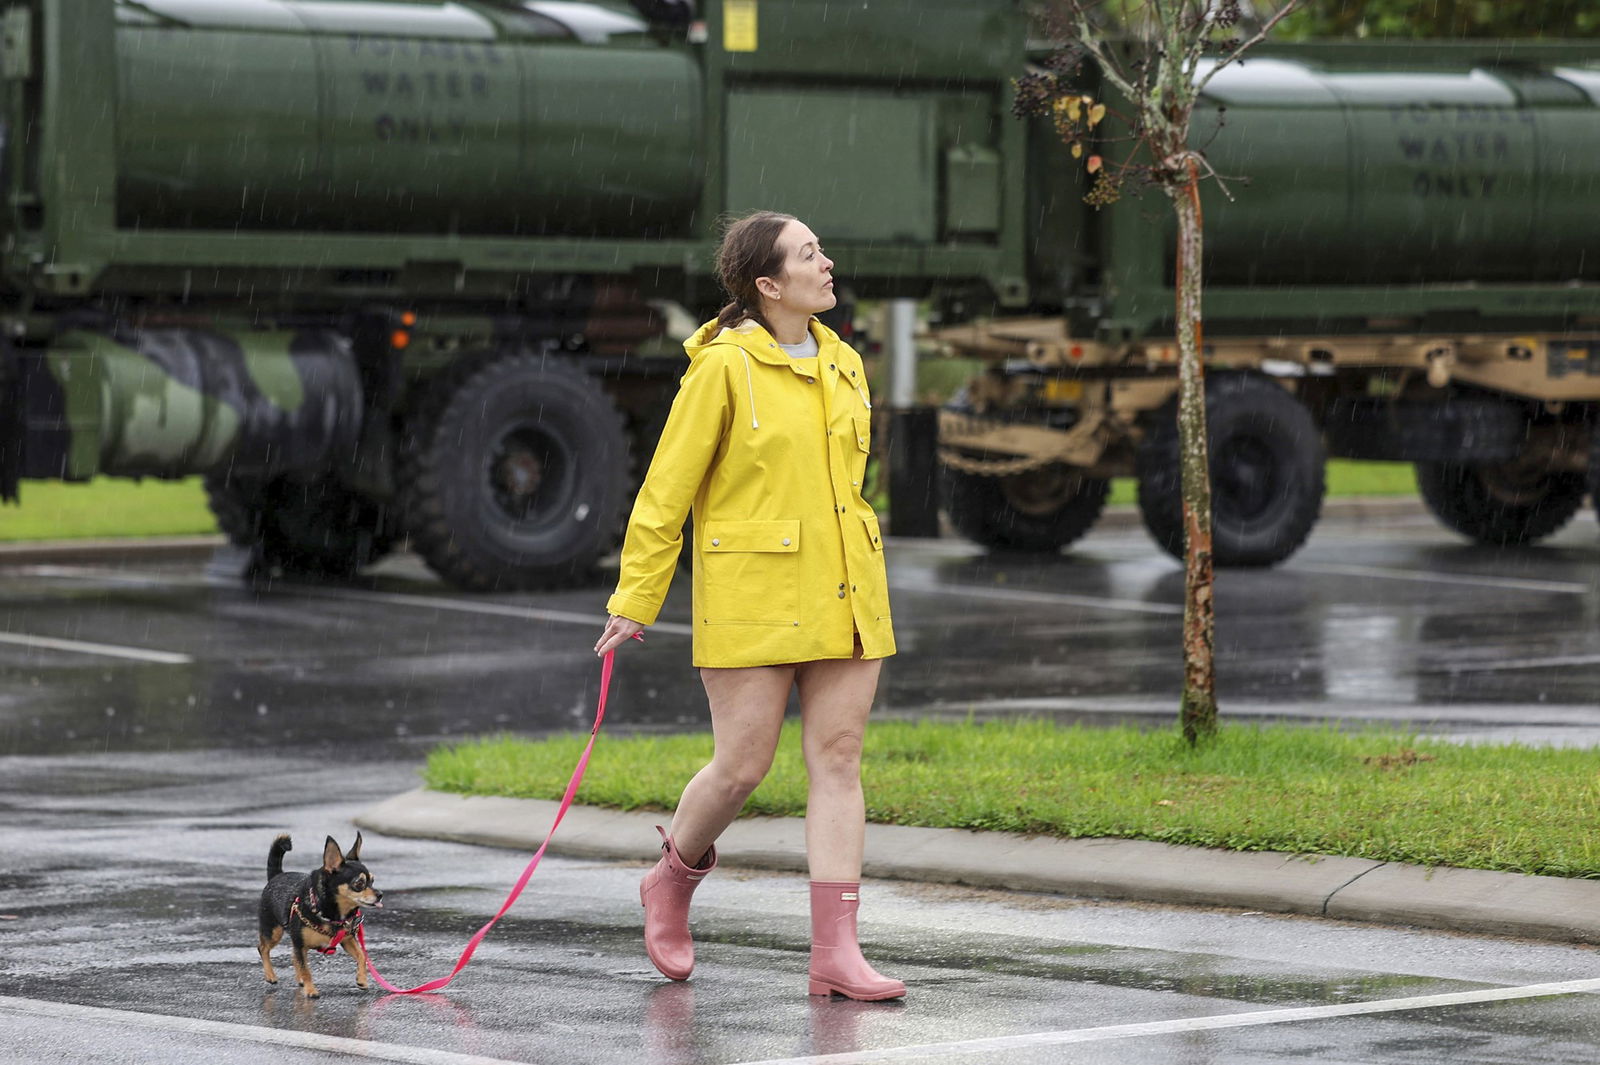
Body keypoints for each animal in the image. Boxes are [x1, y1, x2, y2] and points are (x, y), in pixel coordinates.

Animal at [257, 831, 382, 997]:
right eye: (359, 883)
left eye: (372, 881)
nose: (380, 894)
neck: (333, 916)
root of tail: (276, 875)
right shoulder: (300, 945)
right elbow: (306, 969)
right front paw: (311, 990)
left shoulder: (347, 940)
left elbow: (362, 955)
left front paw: (362, 979)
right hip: (274, 932)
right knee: (263, 948)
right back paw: (271, 975)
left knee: (293, 957)